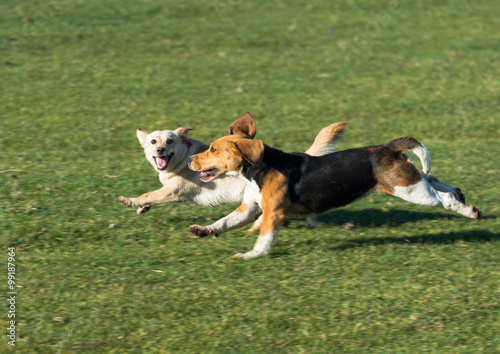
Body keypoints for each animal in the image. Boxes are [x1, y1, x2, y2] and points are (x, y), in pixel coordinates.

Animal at [188, 118, 480, 258]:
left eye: (212, 149)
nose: (190, 159)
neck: (257, 170)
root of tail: (388, 148)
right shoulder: (250, 208)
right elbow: (225, 221)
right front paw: (204, 230)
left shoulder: (273, 214)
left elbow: (264, 238)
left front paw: (252, 255)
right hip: (411, 181)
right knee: (435, 180)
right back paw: (459, 193)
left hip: (409, 191)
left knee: (444, 199)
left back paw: (468, 210)